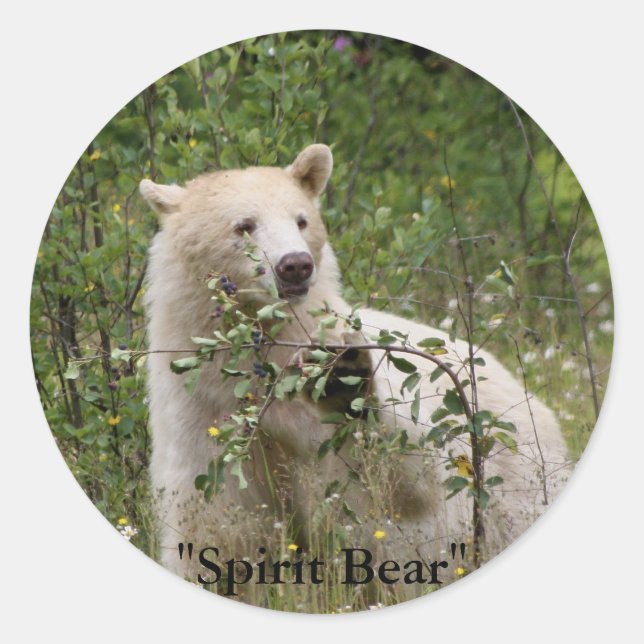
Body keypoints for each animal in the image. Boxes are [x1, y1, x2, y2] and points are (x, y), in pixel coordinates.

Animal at [139, 144, 569, 603]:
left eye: (301, 219)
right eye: (244, 225)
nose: (295, 265)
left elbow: (399, 488)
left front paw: (341, 382)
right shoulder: (202, 416)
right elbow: (218, 530)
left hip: (515, 477)